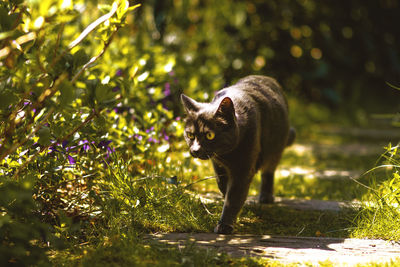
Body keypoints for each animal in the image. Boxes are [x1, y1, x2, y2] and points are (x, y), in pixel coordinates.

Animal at [180, 75, 294, 234]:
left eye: (209, 135)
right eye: (190, 135)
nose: (195, 150)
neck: (227, 155)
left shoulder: (243, 170)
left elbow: (234, 196)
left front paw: (225, 225)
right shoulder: (217, 164)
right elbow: (222, 184)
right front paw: (225, 195)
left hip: (275, 150)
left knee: (268, 171)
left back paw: (266, 196)